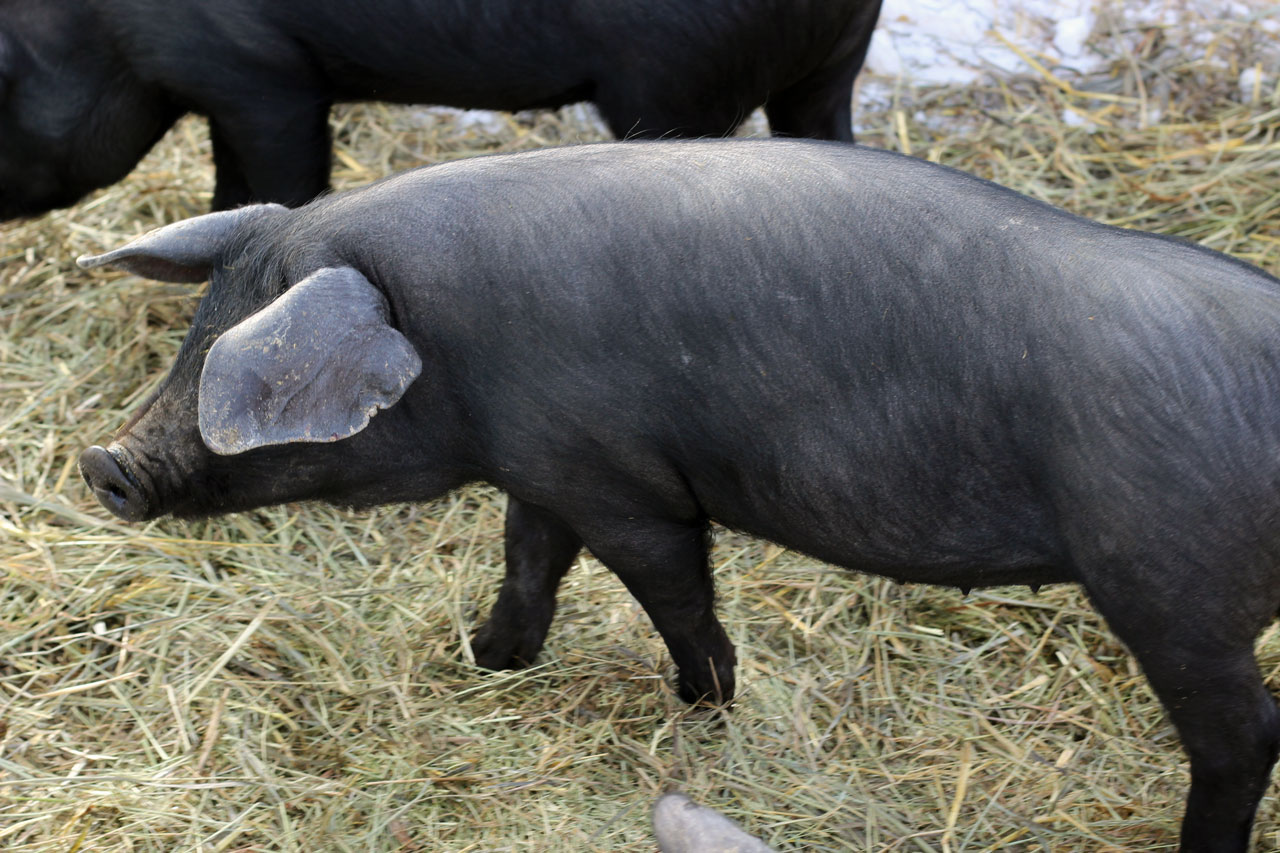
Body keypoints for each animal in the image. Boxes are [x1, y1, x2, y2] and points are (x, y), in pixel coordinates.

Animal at [76, 139, 1280, 852]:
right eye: (195, 329)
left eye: (233, 361)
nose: (102, 463)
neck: (454, 340)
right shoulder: (547, 462)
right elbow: (527, 558)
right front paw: (484, 660)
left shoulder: (624, 484)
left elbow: (673, 592)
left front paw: (702, 712)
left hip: (1171, 584)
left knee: (1242, 738)